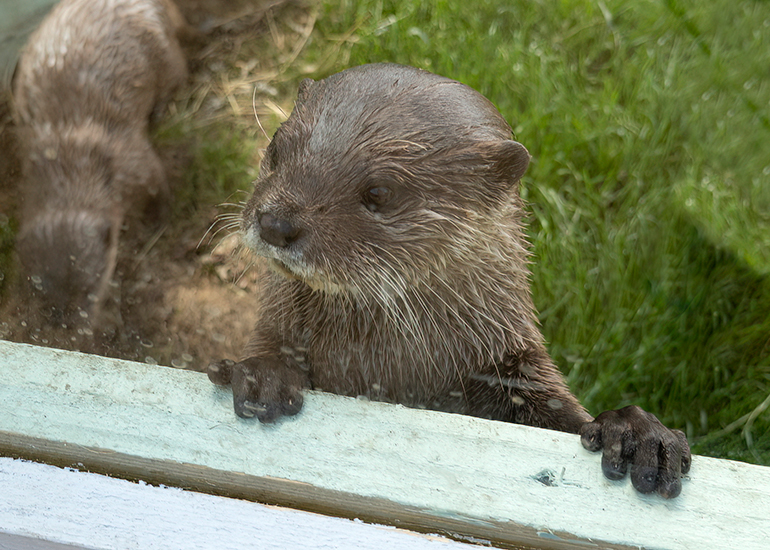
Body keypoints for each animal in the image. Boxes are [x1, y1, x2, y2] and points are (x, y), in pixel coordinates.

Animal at [12, 0, 188, 325]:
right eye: (40, 290)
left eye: (89, 289)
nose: (63, 319)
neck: (68, 160)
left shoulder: (134, 160)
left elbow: (158, 185)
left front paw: (158, 223)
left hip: (166, 55)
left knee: (179, 73)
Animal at [208, 63, 691, 498]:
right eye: (276, 147)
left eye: (379, 191)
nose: (276, 223)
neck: (388, 372)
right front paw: (266, 374)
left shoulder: (512, 370)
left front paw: (638, 432)